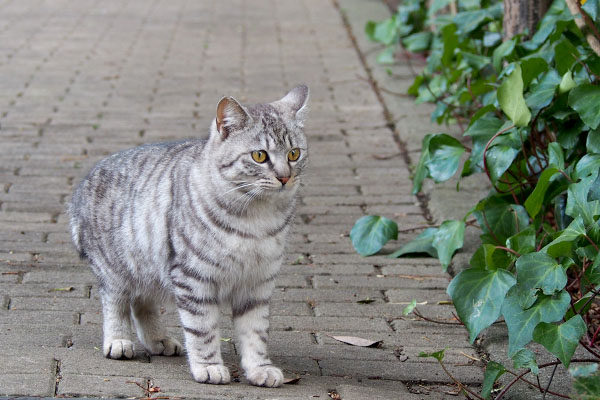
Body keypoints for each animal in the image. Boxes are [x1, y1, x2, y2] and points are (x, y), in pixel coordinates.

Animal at [67, 85, 310, 388]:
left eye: (294, 154)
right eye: (259, 156)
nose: (285, 177)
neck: (257, 218)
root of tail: (82, 186)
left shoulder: (257, 284)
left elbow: (255, 333)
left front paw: (260, 368)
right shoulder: (195, 278)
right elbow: (203, 330)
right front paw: (209, 366)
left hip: (149, 267)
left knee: (142, 304)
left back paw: (158, 340)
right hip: (117, 270)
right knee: (117, 303)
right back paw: (119, 340)